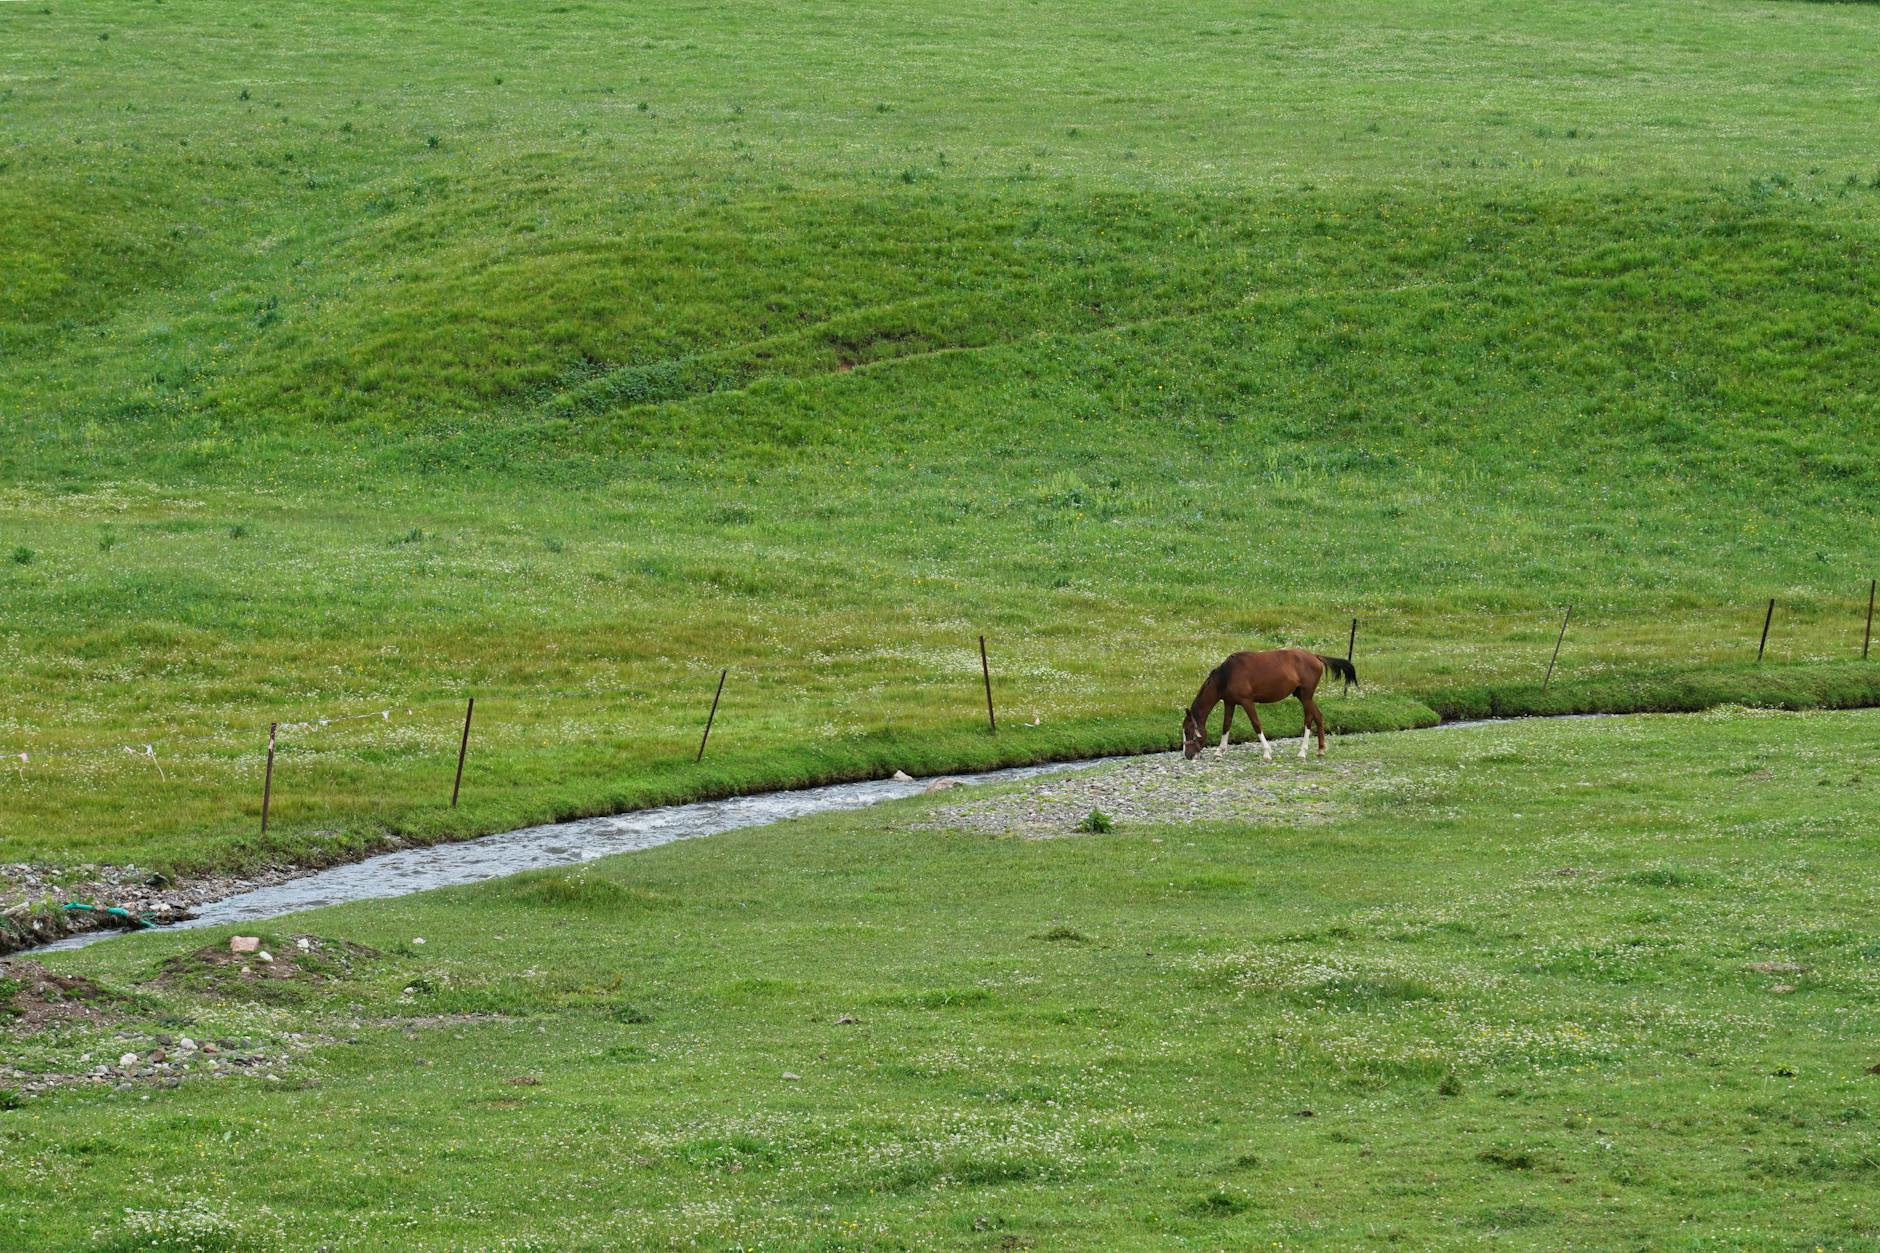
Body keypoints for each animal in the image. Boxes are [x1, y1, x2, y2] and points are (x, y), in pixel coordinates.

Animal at [1181, 648, 1357, 761]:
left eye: (1188, 731)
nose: (1186, 755)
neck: (1227, 675)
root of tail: (1316, 656)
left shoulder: (1247, 702)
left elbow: (1256, 725)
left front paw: (1267, 752)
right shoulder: (1230, 703)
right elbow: (1226, 725)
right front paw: (1219, 752)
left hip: (1306, 696)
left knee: (1308, 720)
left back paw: (1302, 752)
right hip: (1302, 695)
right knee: (1318, 716)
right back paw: (1320, 750)